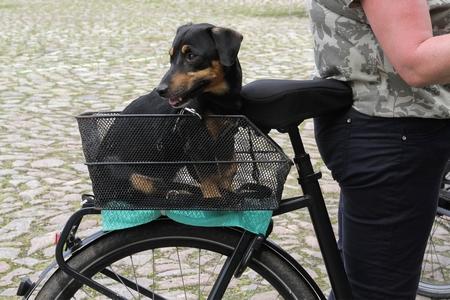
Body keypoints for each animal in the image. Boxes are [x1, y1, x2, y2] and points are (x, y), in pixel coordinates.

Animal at [95, 23, 243, 202]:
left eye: (191, 56)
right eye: (171, 57)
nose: (160, 90)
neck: (219, 102)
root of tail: (97, 194)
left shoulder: (226, 140)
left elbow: (229, 172)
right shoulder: (196, 144)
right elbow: (210, 183)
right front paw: (216, 201)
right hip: (120, 170)